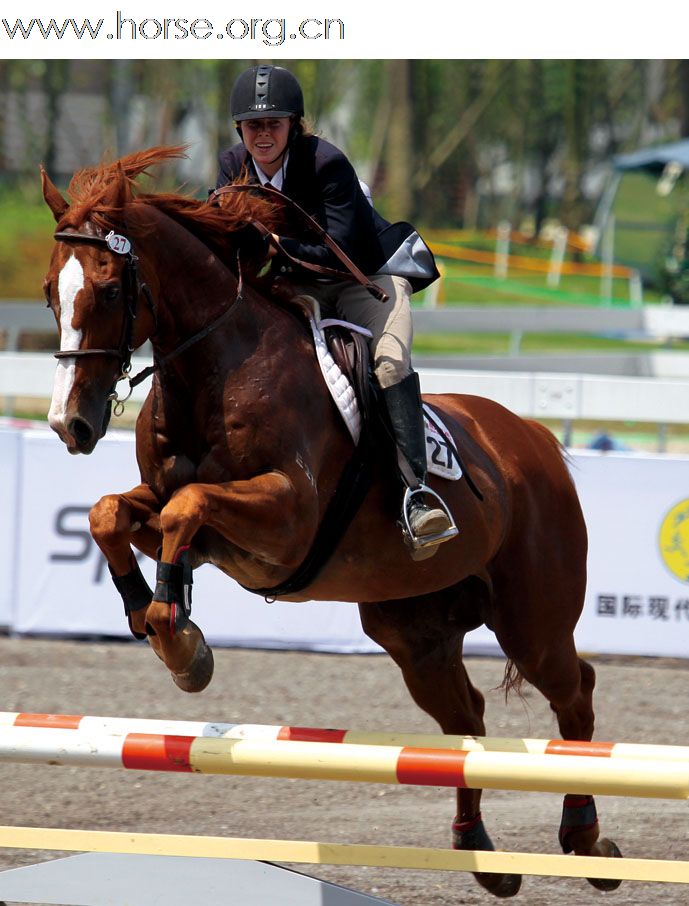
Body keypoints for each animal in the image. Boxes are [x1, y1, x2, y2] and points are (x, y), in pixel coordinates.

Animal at [41, 145, 624, 892]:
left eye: (111, 291)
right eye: (51, 293)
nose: (71, 425)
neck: (214, 370)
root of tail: (533, 439)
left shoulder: (286, 519)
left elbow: (185, 507)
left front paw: (180, 641)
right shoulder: (189, 517)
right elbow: (112, 513)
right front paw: (158, 619)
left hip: (533, 621)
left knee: (573, 692)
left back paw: (586, 841)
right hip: (415, 633)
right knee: (464, 718)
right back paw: (481, 851)